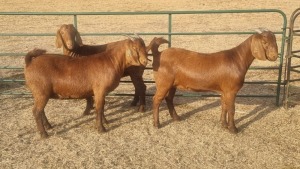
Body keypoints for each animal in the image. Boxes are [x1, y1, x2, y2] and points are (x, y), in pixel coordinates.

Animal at [149, 29, 278, 134]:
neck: (237, 59)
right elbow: (231, 109)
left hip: (173, 84)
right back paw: (156, 124)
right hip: (163, 83)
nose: (274, 56)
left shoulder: (224, 90)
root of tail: (158, 54)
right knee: (156, 99)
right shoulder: (231, 90)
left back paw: (176, 118)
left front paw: (224, 124)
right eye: (265, 42)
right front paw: (233, 129)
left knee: (169, 98)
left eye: (275, 40)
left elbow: (224, 106)